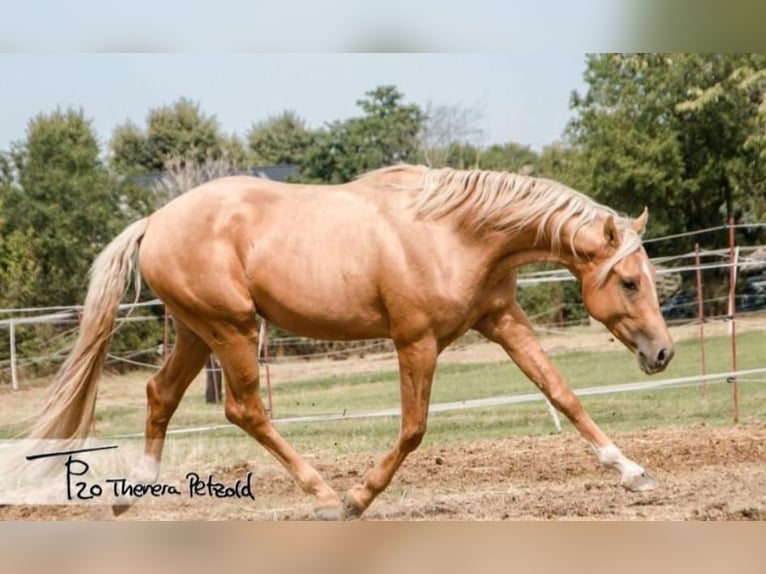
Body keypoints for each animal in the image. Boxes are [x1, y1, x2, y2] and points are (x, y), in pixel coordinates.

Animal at [24, 164, 676, 520]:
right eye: (628, 280)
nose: (663, 353)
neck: (456, 232)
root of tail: (153, 221)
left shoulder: (502, 320)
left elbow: (561, 392)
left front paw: (633, 471)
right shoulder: (416, 342)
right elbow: (413, 429)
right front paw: (359, 497)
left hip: (194, 332)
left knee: (160, 395)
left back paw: (133, 495)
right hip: (231, 330)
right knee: (245, 409)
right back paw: (323, 494)